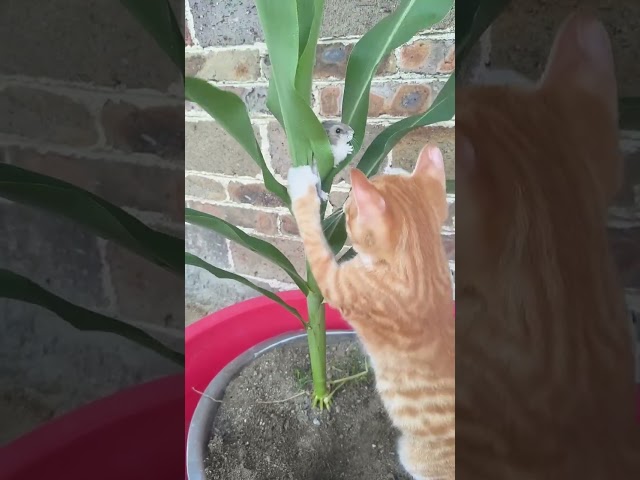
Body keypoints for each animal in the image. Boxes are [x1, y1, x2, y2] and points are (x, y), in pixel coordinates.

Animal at [288, 144, 458, 478]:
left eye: (351, 210)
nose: (343, 206)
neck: (422, 263)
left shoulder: (337, 283)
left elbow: (313, 238)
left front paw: (302, 188)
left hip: (414, 456)